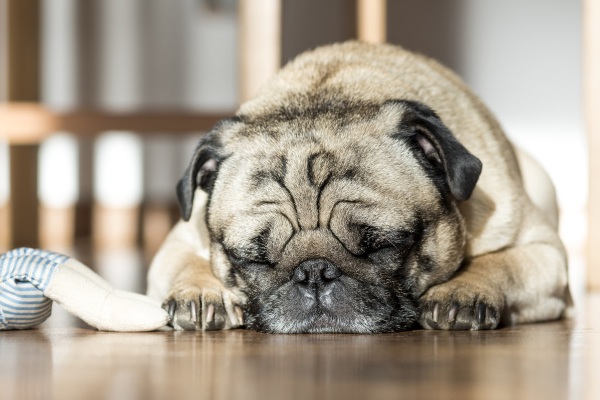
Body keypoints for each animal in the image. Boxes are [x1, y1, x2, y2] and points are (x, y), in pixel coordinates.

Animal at [146, 41, 572, 334]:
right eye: (252, 259)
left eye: (384, 246)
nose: (314, 272)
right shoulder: (179, 241)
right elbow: (188, 263)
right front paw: (201, 292)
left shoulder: (545, 253)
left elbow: (501, 263)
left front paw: (463, 290)